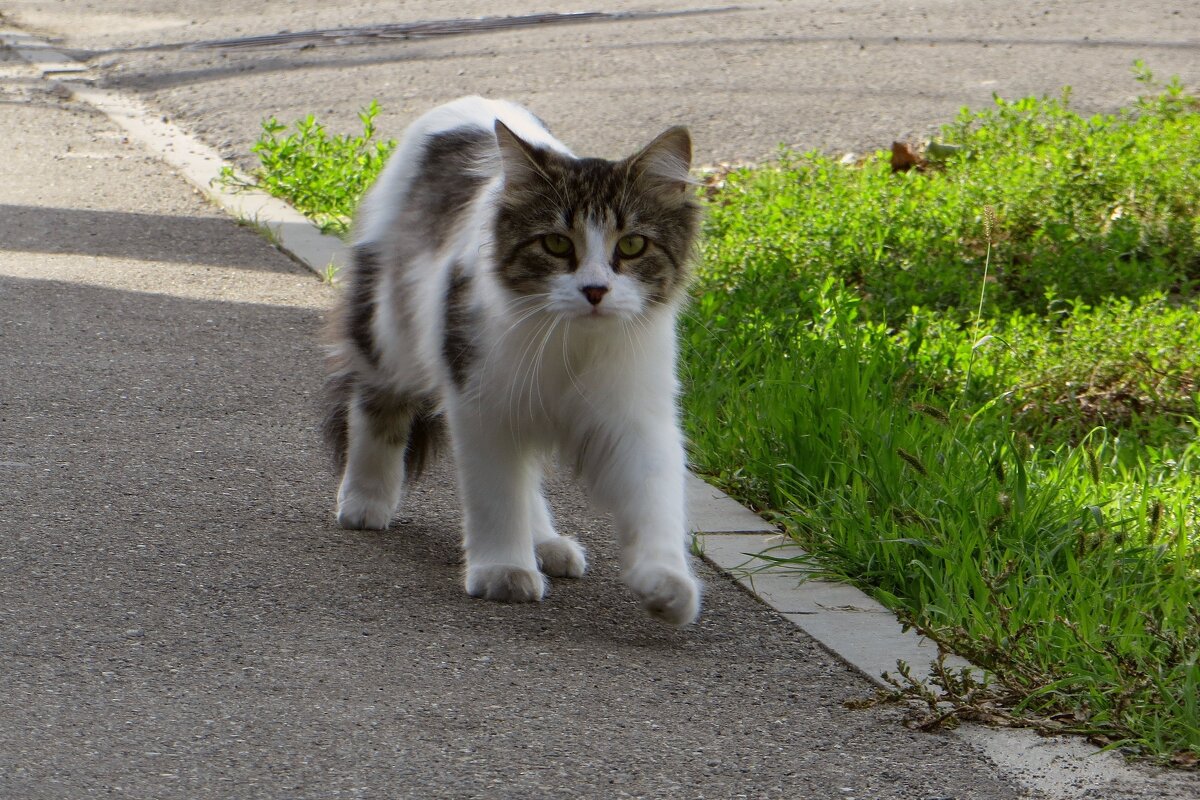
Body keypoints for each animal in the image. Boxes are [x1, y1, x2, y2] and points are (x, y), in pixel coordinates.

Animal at [324, 95, 705, 623]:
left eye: (632, 245)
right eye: (556, 243)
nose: (595, 290)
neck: (571, 343)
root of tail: (470, 102)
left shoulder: (636, 417)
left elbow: (655, 502)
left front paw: (667, 583)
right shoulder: (482, 404)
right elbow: (497, 496)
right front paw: (503, 570)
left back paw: (547, 543)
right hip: (390, 332)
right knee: (376, 406)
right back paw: (365, 498)